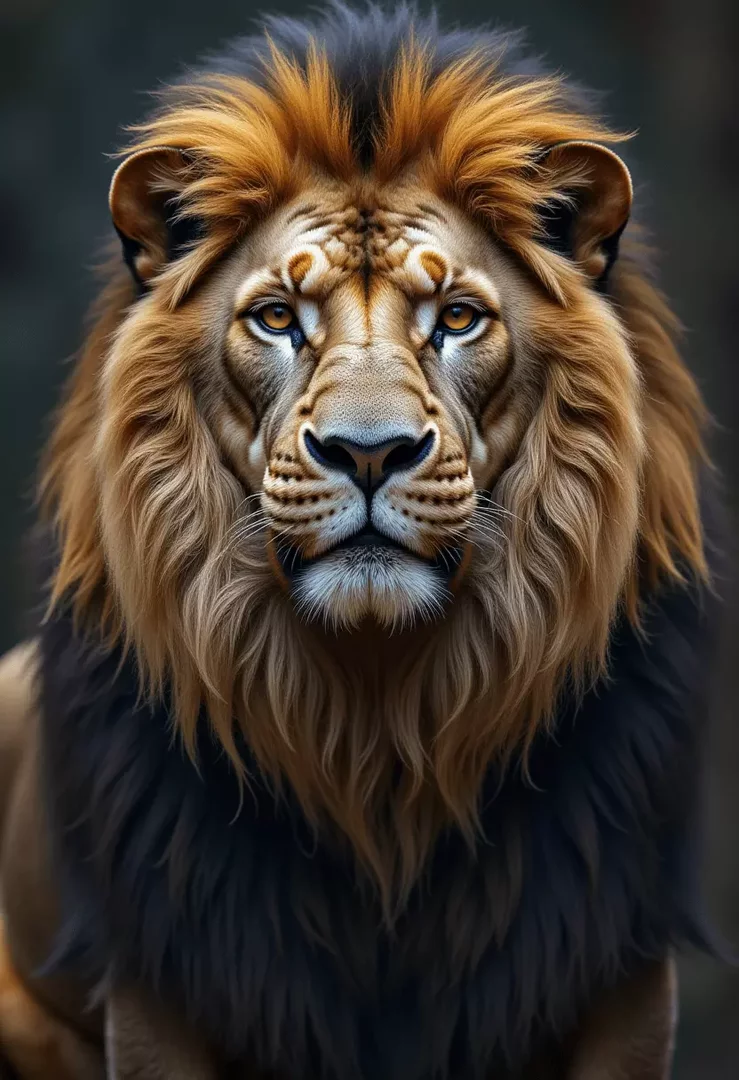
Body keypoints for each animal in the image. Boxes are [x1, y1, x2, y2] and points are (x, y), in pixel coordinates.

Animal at [0, 5, 722, 1078]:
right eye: (275, 318)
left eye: (456, 318)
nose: (369, 452)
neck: (375, 721)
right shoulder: (161, 975)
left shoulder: (616, 967)